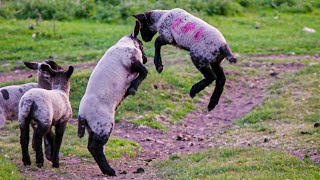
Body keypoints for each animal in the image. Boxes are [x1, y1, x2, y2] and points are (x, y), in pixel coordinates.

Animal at [77, 21, 148, 176]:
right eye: (142, 45)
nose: (146, 59)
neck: (124, 44)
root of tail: (81, 114)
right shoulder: (131, 61)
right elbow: (145, 71)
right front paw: (132, 89)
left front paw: (129, 89)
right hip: (104, 125)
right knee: (95, 147)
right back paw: (110, 171)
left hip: (93, 128)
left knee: (91, 146)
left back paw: (106, 170)